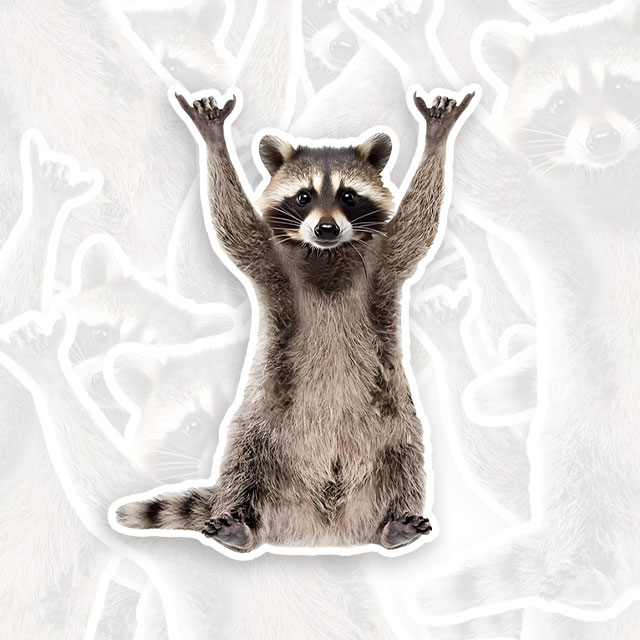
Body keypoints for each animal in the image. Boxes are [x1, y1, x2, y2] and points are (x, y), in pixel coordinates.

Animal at [114, 88, 476, 552]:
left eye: (348, 196)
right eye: (304, 196)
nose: (325, 229)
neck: (326, 257)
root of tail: (322, 530)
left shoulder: (385, 263)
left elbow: (418, 227)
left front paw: (436, 139)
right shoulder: (273, 264)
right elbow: (236, 230)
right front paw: (214, 141)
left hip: (394, 420)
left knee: (407, 457)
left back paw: (395, 524)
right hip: (262, 419)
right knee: (242, 459)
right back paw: (240, 525)